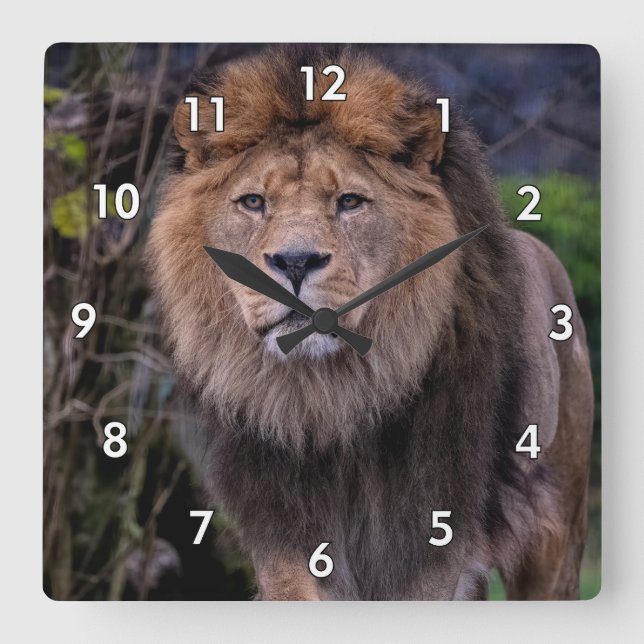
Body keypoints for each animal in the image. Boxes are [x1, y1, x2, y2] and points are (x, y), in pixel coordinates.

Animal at [147, 46, 594, 600]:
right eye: (253, 202)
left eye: (349, 202)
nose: (295, 262)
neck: (332, 398)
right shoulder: (283, 531)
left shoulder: (433, 535)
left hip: (557, 534)